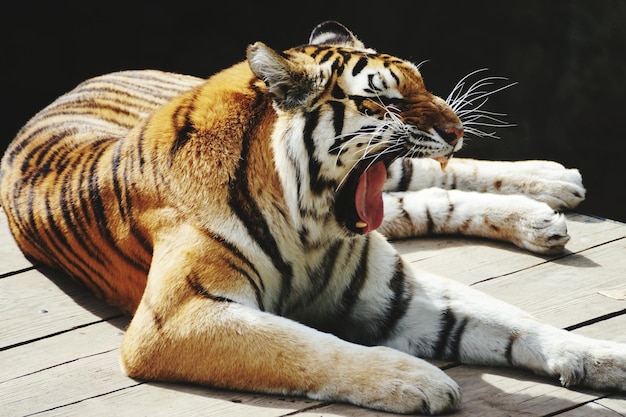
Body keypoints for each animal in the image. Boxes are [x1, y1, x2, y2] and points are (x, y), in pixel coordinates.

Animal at [0, 21, 620, 414]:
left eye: (422, 84)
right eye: (387, 101)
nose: (457, 128)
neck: (311, 223)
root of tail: (82, 80)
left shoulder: (396, 291)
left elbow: (514, 322)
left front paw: (604, 357)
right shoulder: (178, 319)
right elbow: (306, 347)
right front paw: (416, 379)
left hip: (403, 177)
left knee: (428, 179)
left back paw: (553, 184)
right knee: (418, 201)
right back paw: (543, 213)